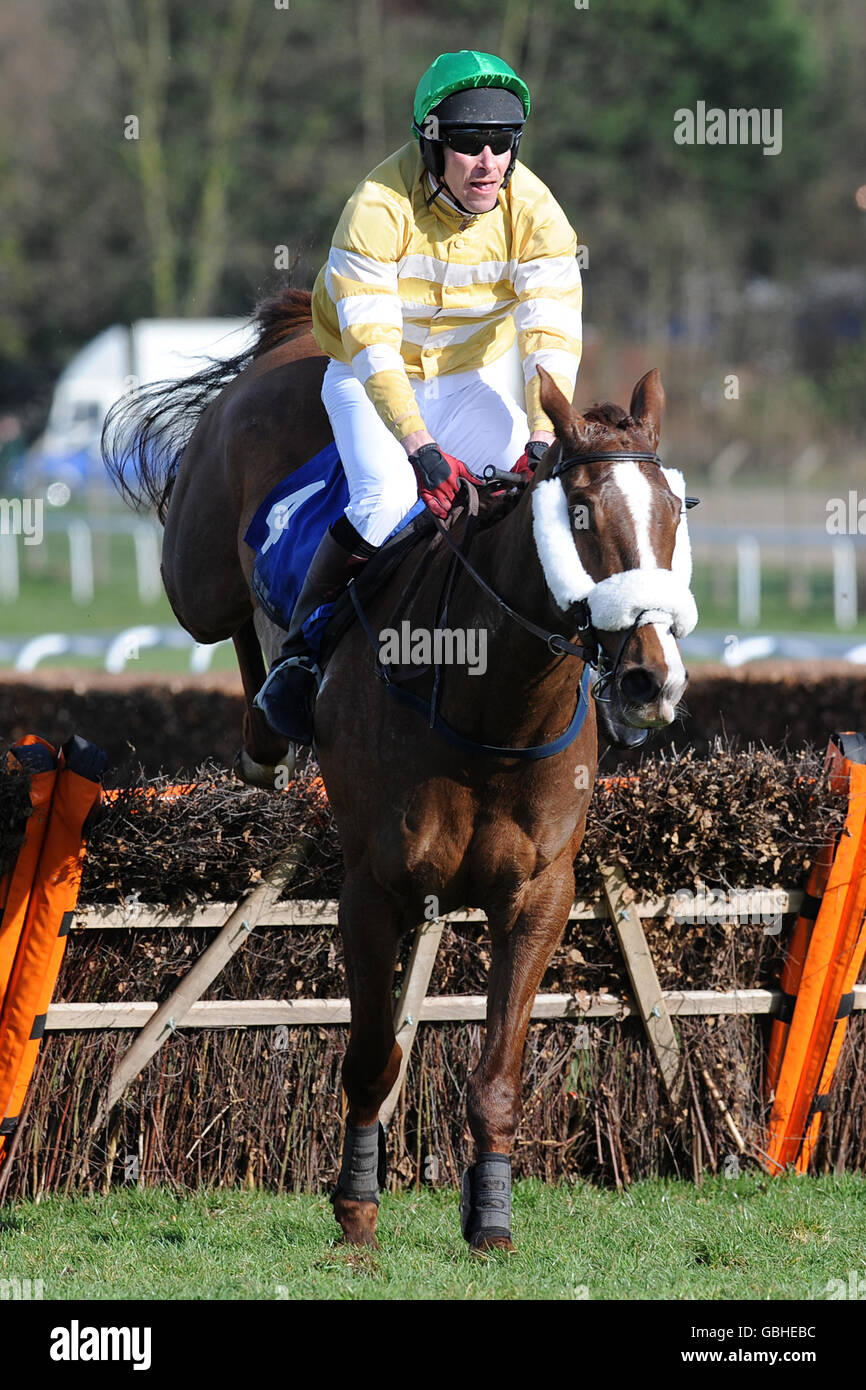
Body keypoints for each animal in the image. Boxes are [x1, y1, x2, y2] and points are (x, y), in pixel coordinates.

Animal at [103, 287, 697, 1256]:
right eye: (576, 513)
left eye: (675, 515)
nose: (652, 678)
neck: (489, 710)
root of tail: (297, 335)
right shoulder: (372, 888)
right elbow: (374, 1059)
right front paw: (356, 1207)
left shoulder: (539, 892)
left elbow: (498, 1074)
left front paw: (490, 1217)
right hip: (198, 564)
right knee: (227, 609)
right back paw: (270, 713)